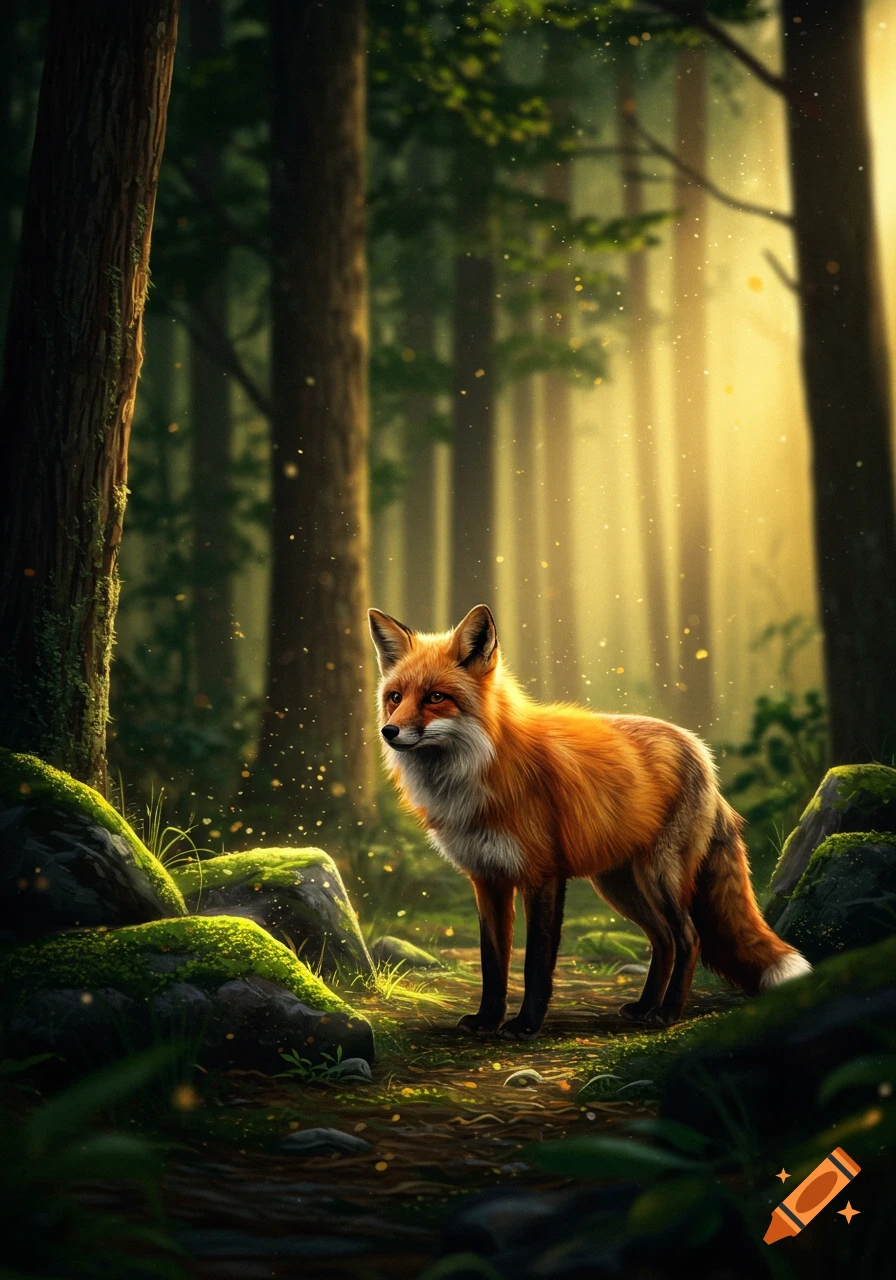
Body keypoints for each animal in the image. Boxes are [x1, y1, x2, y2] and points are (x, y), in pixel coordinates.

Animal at [367, 603, 811, 1039]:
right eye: (395, 697)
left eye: (436, 697)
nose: (389, 731)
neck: (480, 771)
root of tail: (700, 749)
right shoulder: (487, 878)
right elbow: (493, 962)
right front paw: (487, 1020)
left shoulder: (542, 875)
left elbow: (536, 962)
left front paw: (525, 1026)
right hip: (619, 885)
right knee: (663, 940)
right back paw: (644, 1006)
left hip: (659, 876)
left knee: (689, 938)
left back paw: (668, 1013)